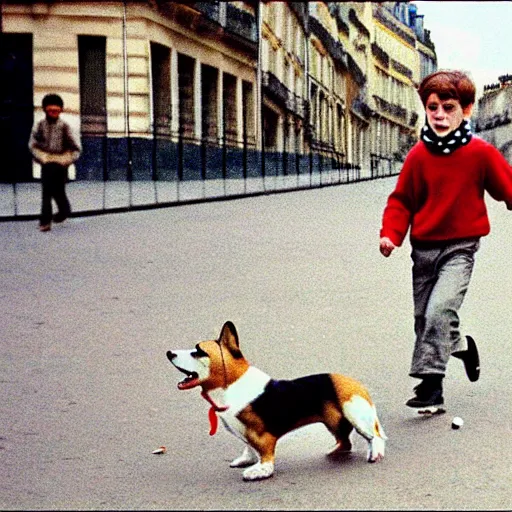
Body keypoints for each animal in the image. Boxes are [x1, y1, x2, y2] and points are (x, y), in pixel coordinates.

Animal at [166, 322, 386, 482]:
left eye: (198, 351)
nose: (169, 353)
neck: (231, 384)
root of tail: (358, 385)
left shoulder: (262, 436)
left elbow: (264, 453)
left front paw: (260, 470)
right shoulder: (246, 434)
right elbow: (248, 446)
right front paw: (247, 460)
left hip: (355, 413)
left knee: (375, 436)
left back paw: (375, 454)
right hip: (333, 422)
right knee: (345, 441)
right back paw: (334, 451)